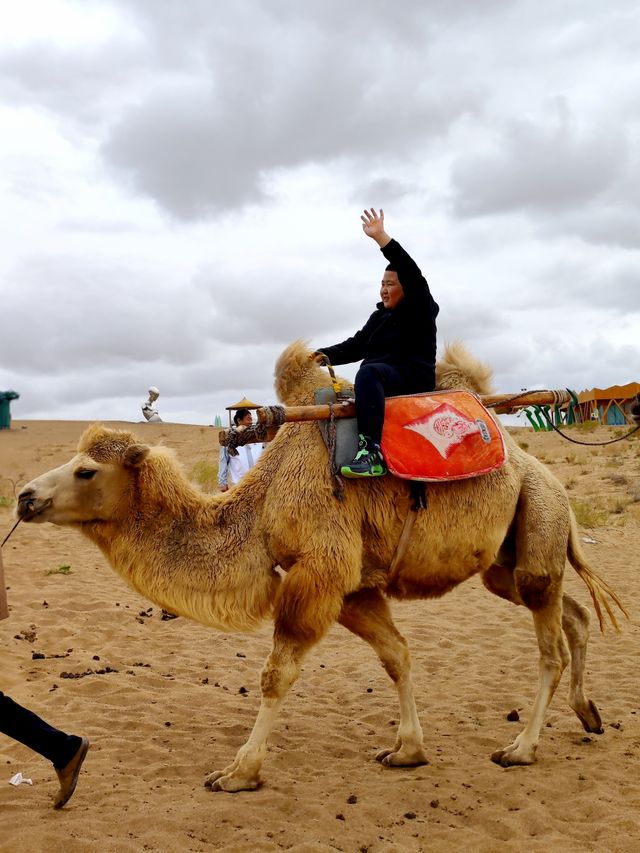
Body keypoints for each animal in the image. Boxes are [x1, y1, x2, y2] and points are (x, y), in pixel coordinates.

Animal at [18, 342, 624, 792]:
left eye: (87, 471)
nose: (25, 496)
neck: (263, 507)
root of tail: (546, 475)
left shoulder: (320, 571)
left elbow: (275, 674)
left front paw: (238, 772)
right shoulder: (352, 588)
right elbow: (397, 655)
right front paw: (408, 750)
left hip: (538, 516)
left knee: (550, 643)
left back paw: (521, 748)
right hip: (508, 558)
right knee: (570, 612)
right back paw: (588, 713)